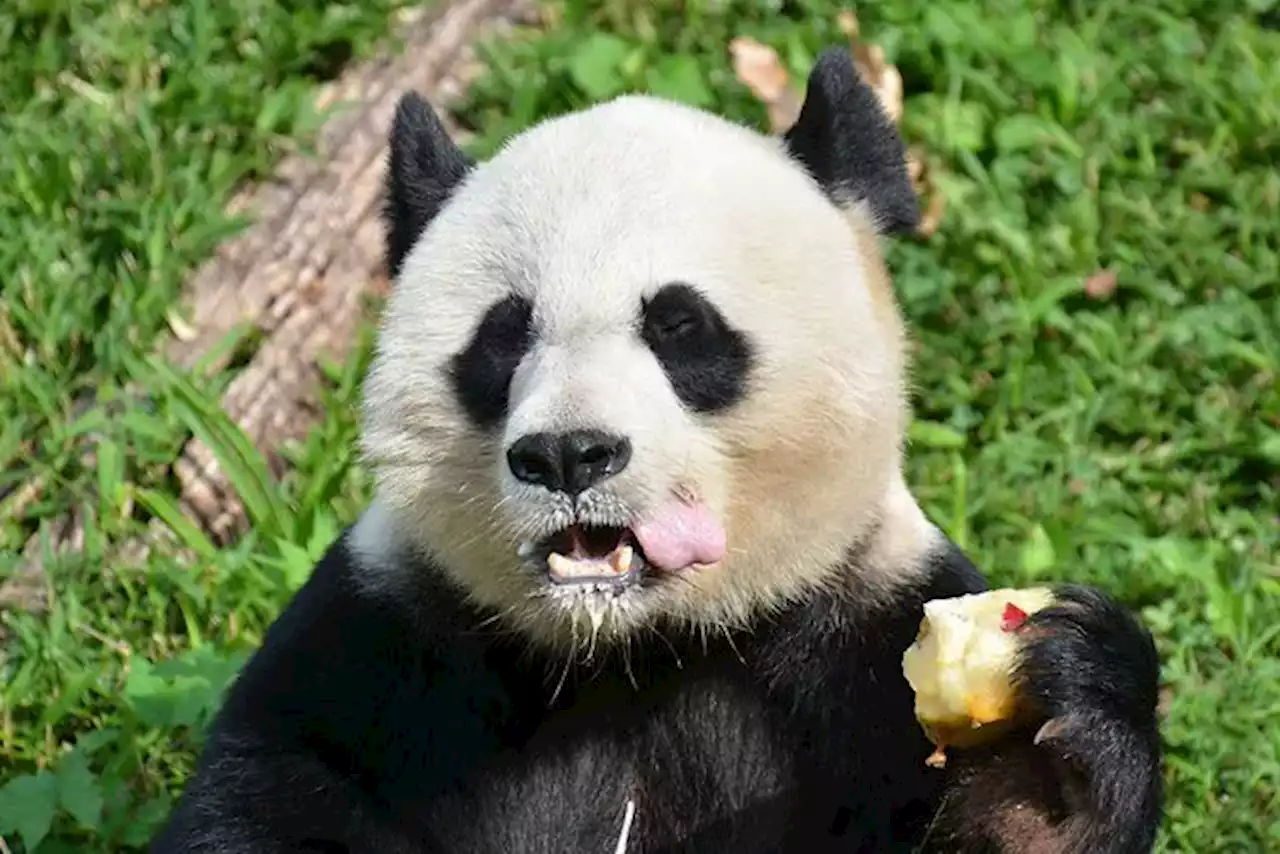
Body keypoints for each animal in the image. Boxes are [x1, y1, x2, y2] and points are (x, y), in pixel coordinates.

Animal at [147, 51, 1162, 854]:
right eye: (503, 336)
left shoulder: (862, 631)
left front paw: (1063, 731)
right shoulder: (389, 632)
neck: (636, 647)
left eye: (679, 327)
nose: (568, 455)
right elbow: (275, 795)